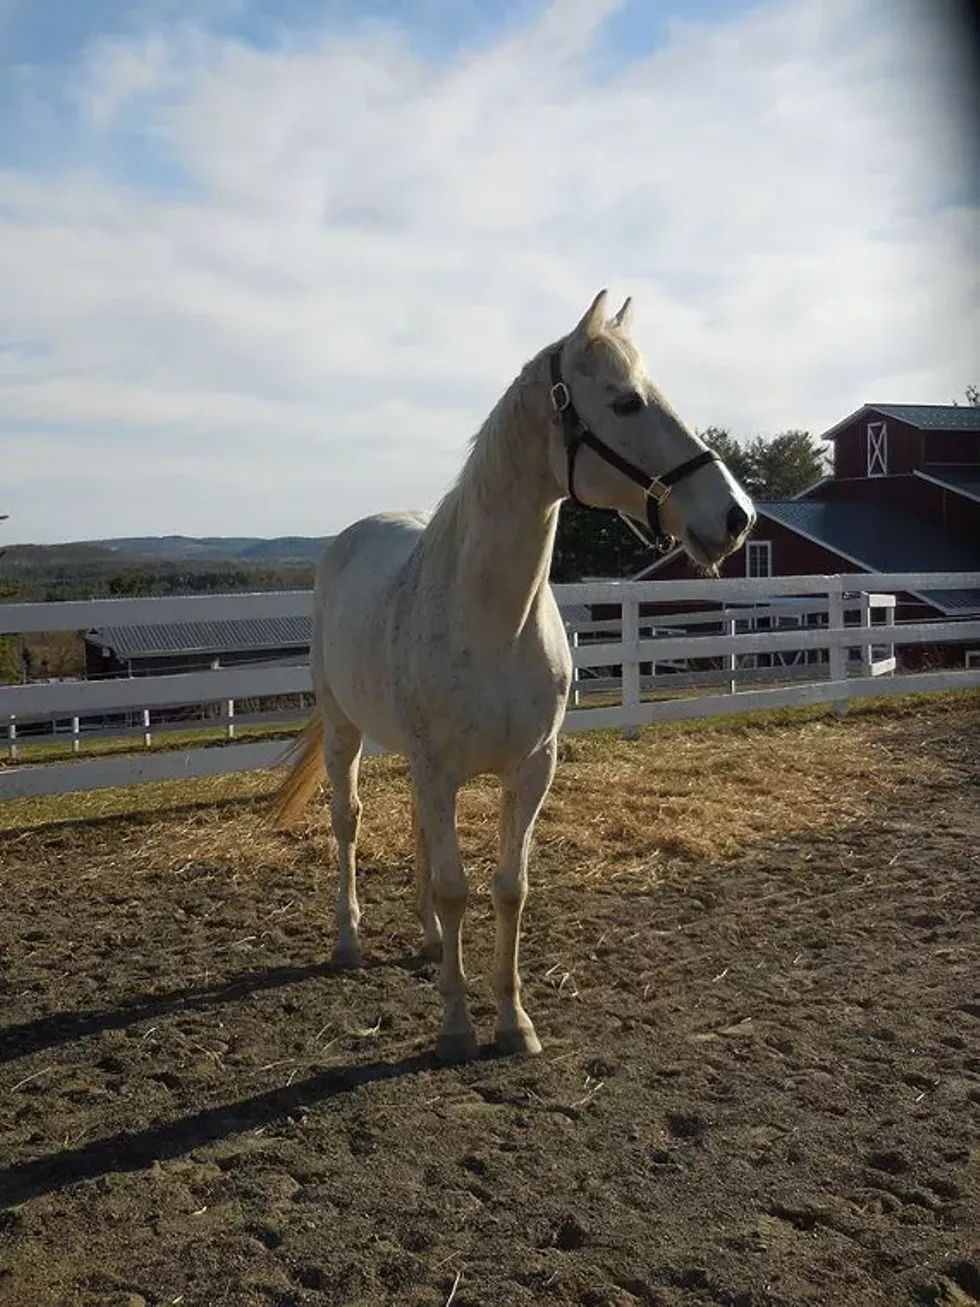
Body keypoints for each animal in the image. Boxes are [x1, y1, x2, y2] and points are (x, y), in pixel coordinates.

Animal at [269, 289, 755, 1062]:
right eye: (624, 402)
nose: (736, 518)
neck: (495, 617)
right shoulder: (440, 769)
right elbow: (454, 887)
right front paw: (455, 1026)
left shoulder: (530, 768)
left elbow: (505, 888)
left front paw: (512, 1020)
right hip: (346, 729)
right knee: (349, 821)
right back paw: (348, 940)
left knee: (416, 834)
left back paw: (429, 943)